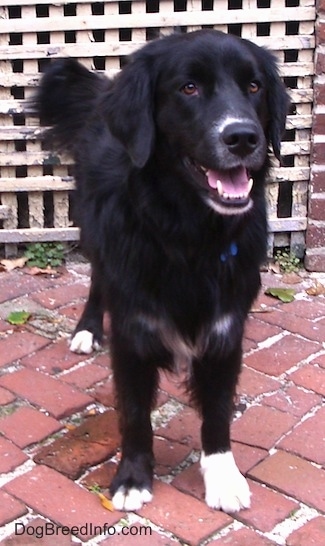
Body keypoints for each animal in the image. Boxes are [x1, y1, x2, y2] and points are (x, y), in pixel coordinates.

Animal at [36, 30, 288, 510]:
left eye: (254, 86)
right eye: (188, 88)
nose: (243, 137)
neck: (190, 236)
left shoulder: (224, 332)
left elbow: (217, 414)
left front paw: (222, 476)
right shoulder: (133, 333)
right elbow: (135, 414)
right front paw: (133, 478)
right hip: (95, 235)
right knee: (97, 281)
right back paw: (87, 329)